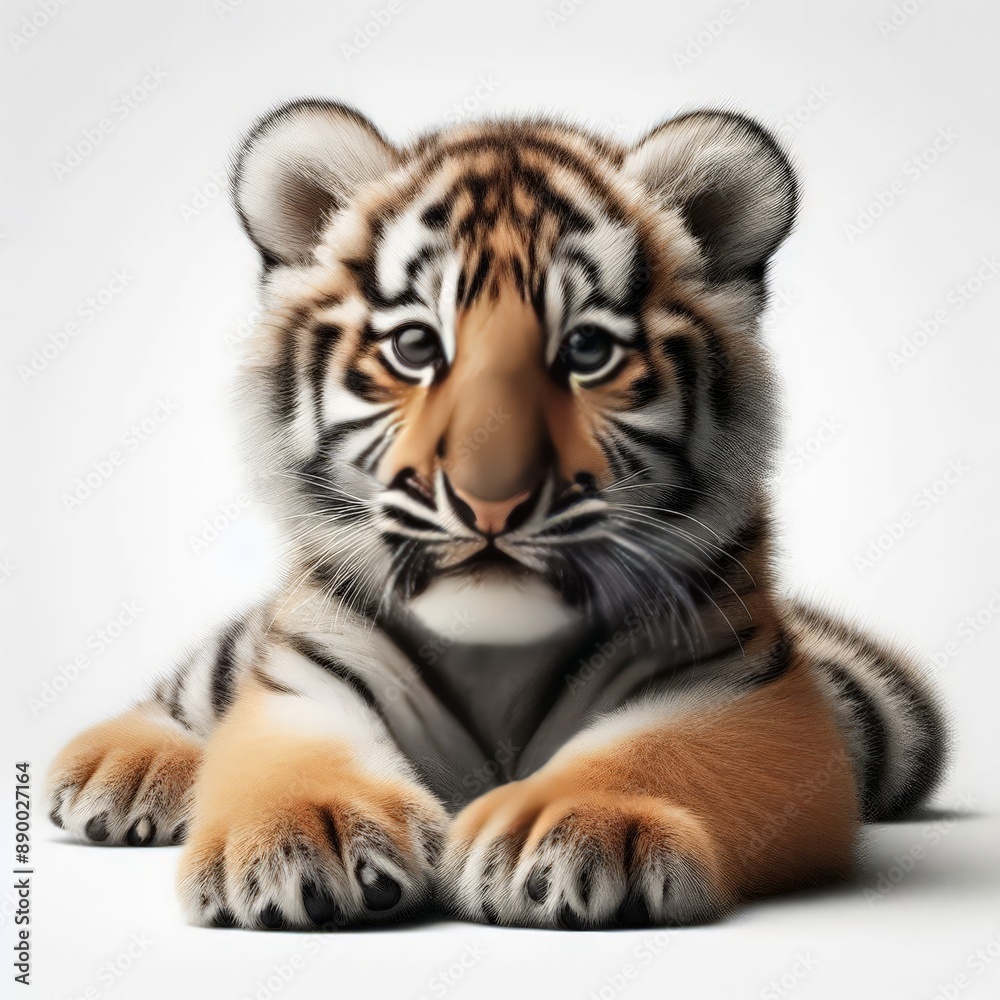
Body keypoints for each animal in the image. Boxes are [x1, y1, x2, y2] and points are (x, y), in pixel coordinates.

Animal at [46, 99, 948, 931]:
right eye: (415, 347)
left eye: (587, 351)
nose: (491, 496)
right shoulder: (303, 676)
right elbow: (289, 753)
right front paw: (309, 834)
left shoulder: (745, 692)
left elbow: (656, 750)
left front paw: (575, 826)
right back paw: (124, 766)